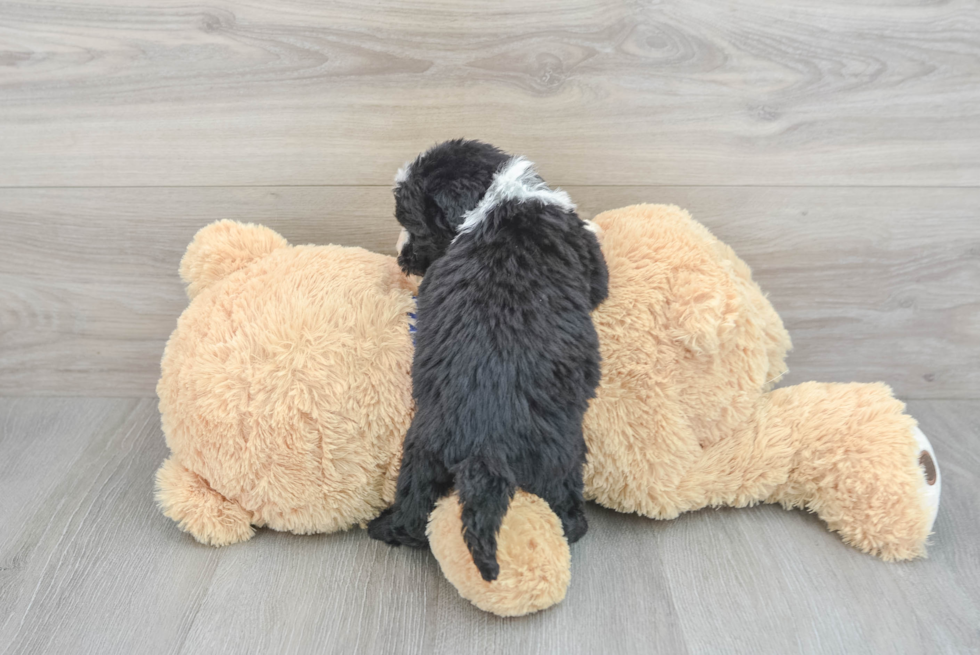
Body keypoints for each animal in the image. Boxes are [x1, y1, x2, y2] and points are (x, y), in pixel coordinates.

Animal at [368, 141, 604, 580]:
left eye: (412, 224)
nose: (401, 260)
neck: (495, 196)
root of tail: (486, 446)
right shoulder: (591, 262)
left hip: (423, 452)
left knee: (415, 506)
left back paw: (387, 527)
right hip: (561, 453)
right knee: (561, 500)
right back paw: (574, 527)